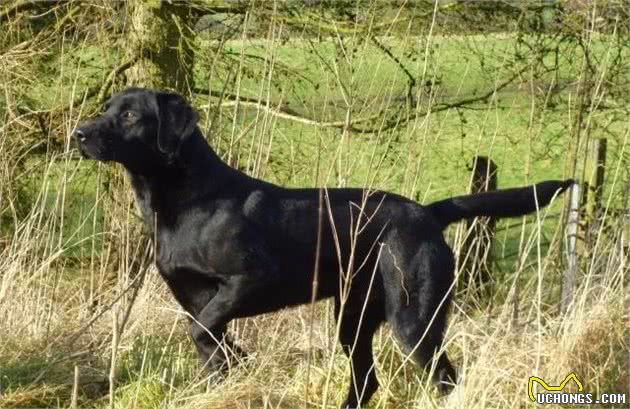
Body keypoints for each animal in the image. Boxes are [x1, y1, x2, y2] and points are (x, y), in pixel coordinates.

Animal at [75, 87, 576, 406]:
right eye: (106, 108)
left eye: (130, 115)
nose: (79, 133)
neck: (186, 199)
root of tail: (428, 213)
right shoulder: (193, 297)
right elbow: (209, 344)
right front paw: (231, 369)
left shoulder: (251, 279)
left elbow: (203, 332)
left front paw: (238, 361)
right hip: (354, 316)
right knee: (366, 380)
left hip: (414, 319)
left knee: (445, 378)